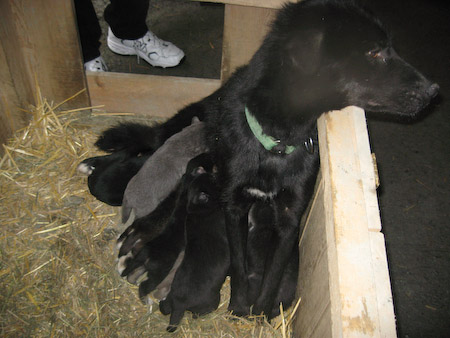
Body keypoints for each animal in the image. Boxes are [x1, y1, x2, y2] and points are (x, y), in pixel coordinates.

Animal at [158, 165, 229, 332]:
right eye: (213, 180)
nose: (215, 172)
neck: (199, 208)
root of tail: (179, 304)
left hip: (170, 300)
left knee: (165, 308)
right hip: (212, 302)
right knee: (198, 313)